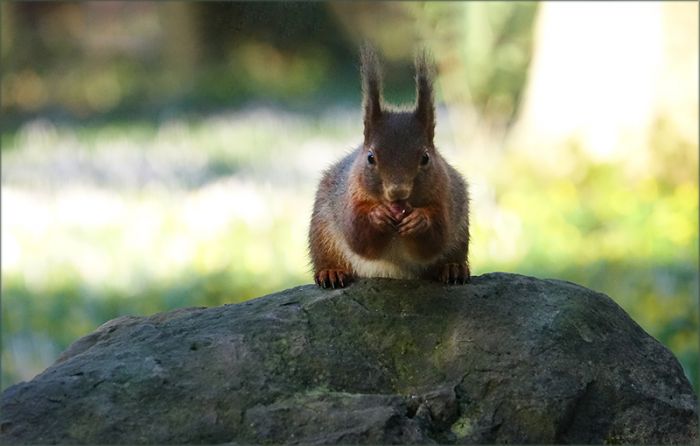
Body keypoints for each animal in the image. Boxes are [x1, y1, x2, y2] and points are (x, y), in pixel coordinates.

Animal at [308, 46, 470, 288]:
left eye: (425, 158)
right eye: (370, 158)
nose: (397, 192)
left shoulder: (445, 196)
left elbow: (436, 237)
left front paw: (419, 220)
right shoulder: (349, 196)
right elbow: (358, 234)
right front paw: (377, 216)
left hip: (461, 233)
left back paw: (453, 268)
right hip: (322, 229)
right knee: (326, 254)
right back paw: (331, 272)